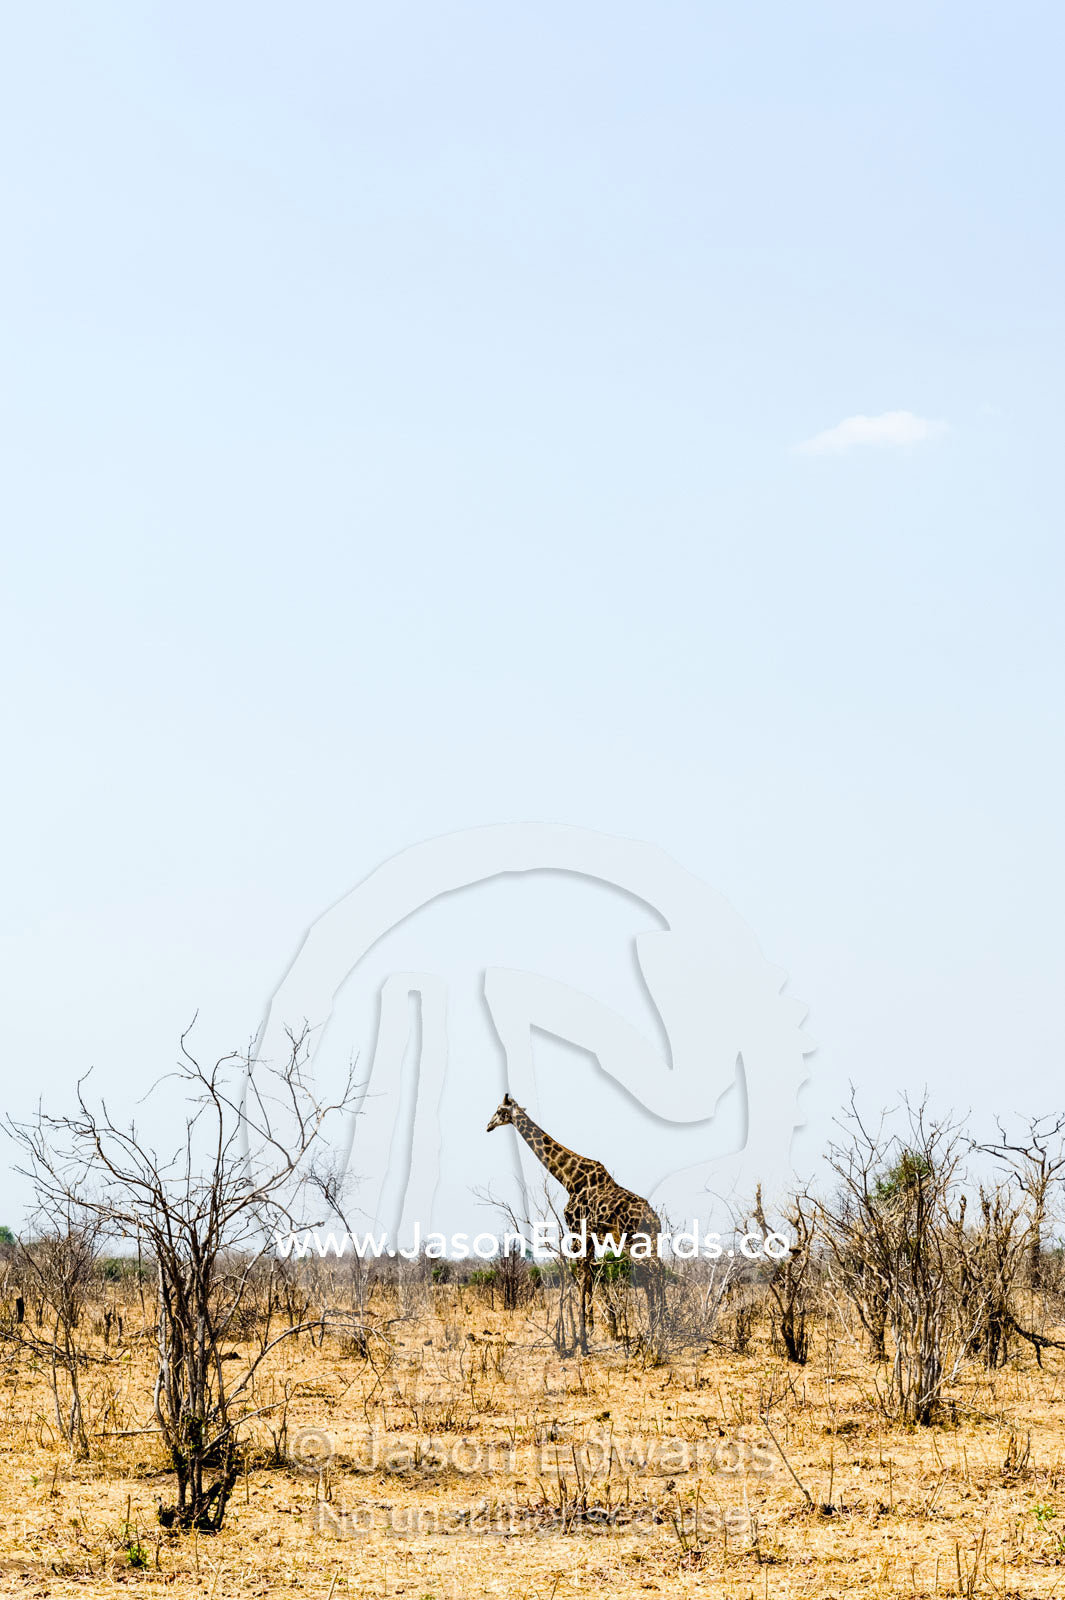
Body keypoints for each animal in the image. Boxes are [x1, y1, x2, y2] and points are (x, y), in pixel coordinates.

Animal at [486, 1093, 664, 1349]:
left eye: (500, 1111)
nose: (488, 1125)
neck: (568, 1178)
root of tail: (653, 1217)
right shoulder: (590, 1235)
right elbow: (589, 1274)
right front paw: (591, 1325)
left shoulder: (576, 1228)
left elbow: (581, 1274)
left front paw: (583, 1329)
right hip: (651, 1241)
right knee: (658, 1271)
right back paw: (661, 1323)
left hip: (635, 1241)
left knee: (653, 1273)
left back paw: (659, 1325)